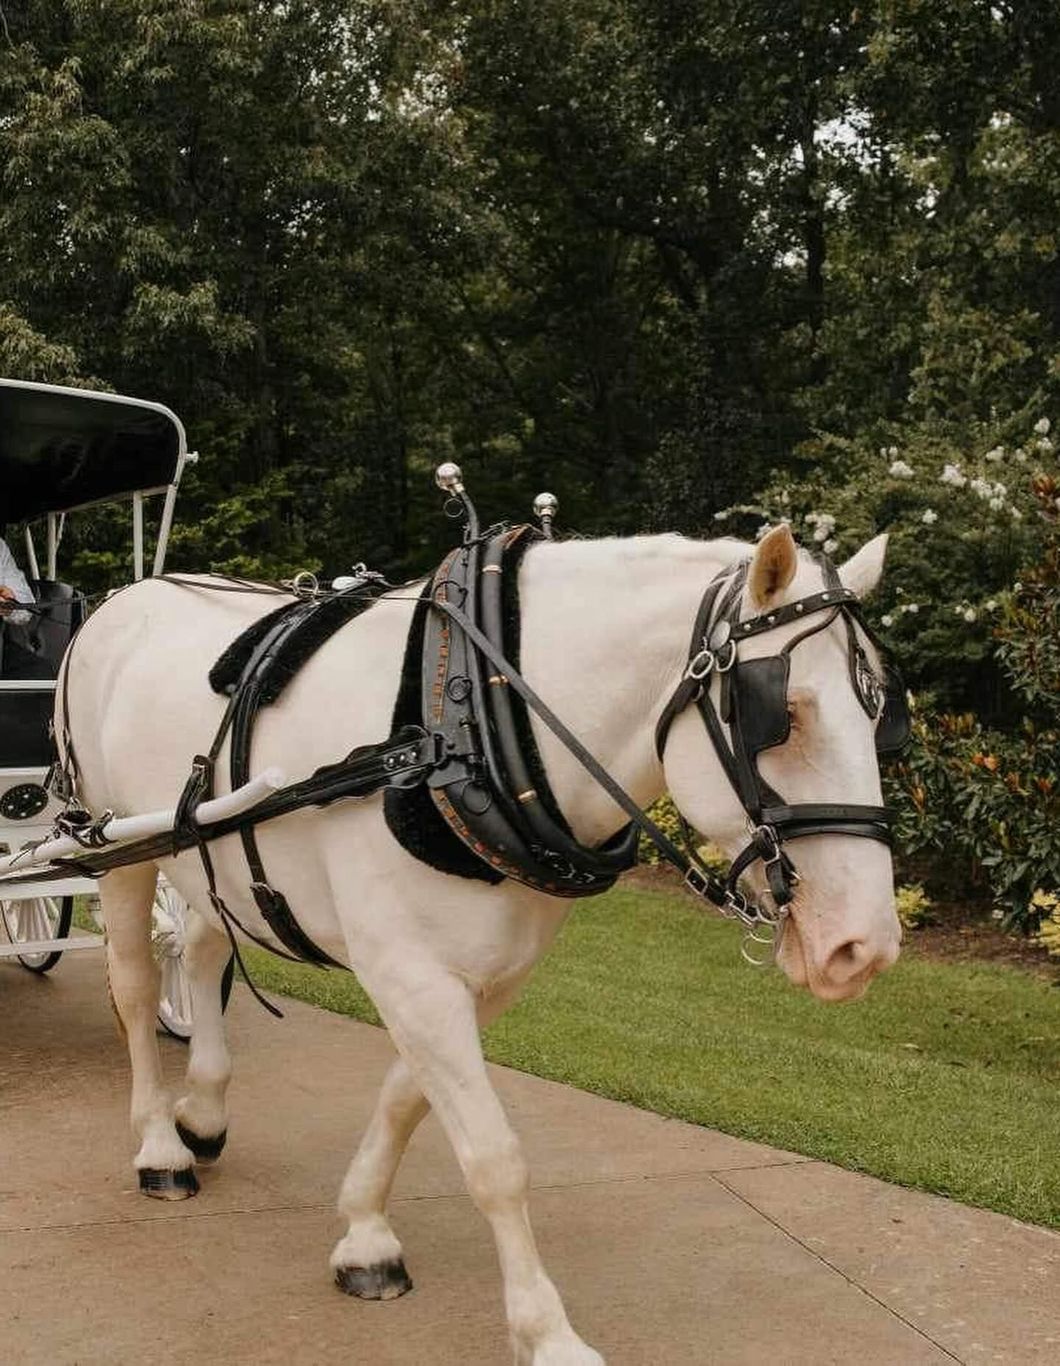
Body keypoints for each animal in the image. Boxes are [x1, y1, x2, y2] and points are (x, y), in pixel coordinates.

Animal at [62, 523, 901, 1366]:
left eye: (881, 716)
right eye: (783, 714)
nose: (863, 947)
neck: (461, 730)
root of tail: (129, 593)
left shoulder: (485, 977)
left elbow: (405, 1100)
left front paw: (364, 1233)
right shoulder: (408, 972)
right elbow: (495, 1155)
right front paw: (547, 1331)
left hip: (206, 853)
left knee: (202, 953)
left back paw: (202, 1111)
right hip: (115, 845)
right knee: (134, 984)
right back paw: (160, 1146)